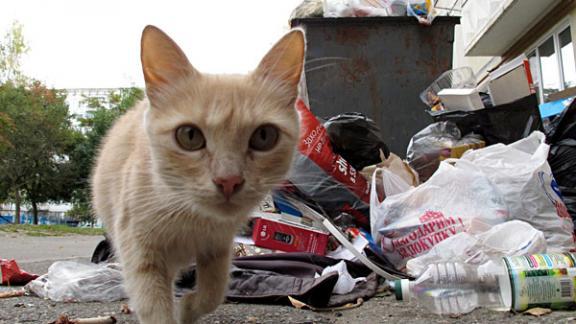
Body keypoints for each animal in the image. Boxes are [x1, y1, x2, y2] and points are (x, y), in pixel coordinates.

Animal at [91, 26, 306, 324]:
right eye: (189, 136)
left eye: (264, 136)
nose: (228, 180)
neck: (191, 218)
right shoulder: (138, 248)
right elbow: (154, 307)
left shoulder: (218, 246)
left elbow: (213, 291)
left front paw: (187, 308)